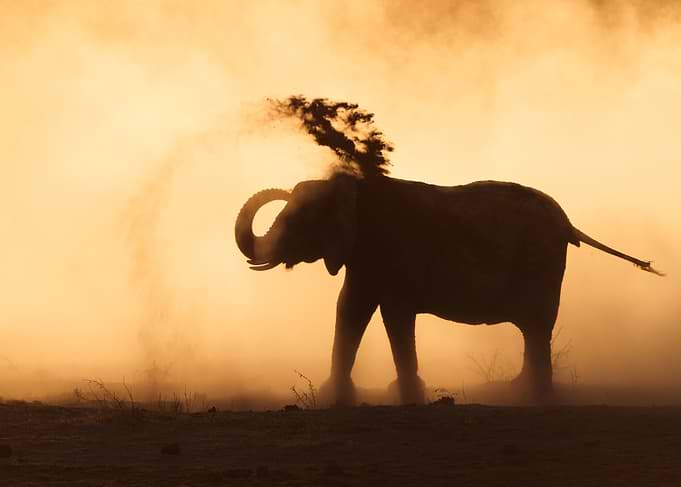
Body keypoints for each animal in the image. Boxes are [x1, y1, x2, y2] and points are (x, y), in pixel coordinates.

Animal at [235, 173, 661, 405]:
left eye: (297, 219)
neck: (353, 189)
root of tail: (569, 223)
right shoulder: (364, 257)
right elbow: (350, 308)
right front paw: (335, 398)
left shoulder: (393, 252)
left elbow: (394, 314)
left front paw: (409, 396)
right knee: (533, 329)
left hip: (542, 263)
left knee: (537, 325)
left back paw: (532, 396)